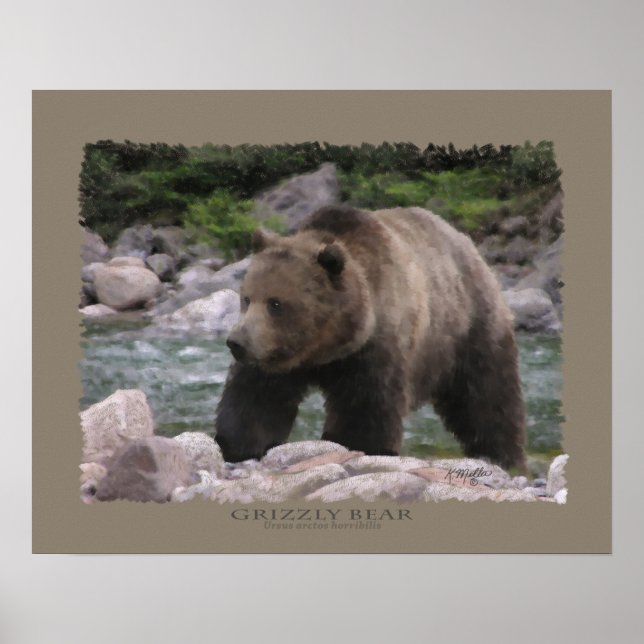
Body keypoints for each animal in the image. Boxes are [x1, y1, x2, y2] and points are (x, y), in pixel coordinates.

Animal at [214, 205, 527, 471]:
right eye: (247, 298)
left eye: (276, 303)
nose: (236, 342)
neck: (325, 347)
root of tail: (470, 246)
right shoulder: (275, 358)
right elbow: (256, 398)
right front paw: (237, 445)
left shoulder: (374, 349)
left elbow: (365, 407)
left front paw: (358, 445)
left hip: (468, 328)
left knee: (486, 398)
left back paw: (503, 456)